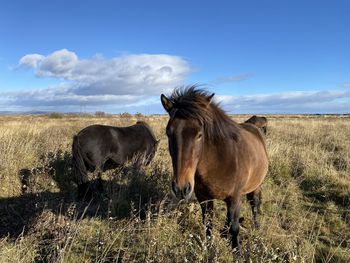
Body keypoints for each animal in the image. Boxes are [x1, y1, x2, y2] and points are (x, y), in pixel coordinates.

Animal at [161, 87, 268, 252]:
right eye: (168, 133)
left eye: (199, 134)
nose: (181, 188)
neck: (219, 162)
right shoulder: (204, 199)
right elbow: (208, 225)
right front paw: (209, 249)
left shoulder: (234, 198)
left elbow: (234, 228)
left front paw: (237, 252)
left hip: (255, 186)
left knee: (254, 205)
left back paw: (256, 230)